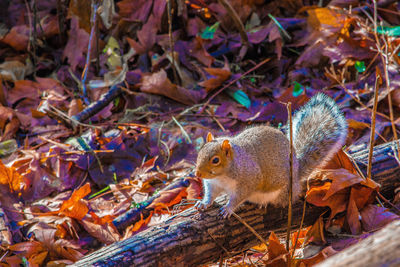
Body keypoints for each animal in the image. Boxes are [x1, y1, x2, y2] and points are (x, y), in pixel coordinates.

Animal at [194, 93, 346, 219]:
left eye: (215, 160)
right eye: (199, 152)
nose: (197, 174)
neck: (222, 176)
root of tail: (297, 174)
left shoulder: (248, 179)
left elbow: (238, 197)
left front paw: (228, 208)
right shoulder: (213, 184)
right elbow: (210, 194)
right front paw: (203, 203)